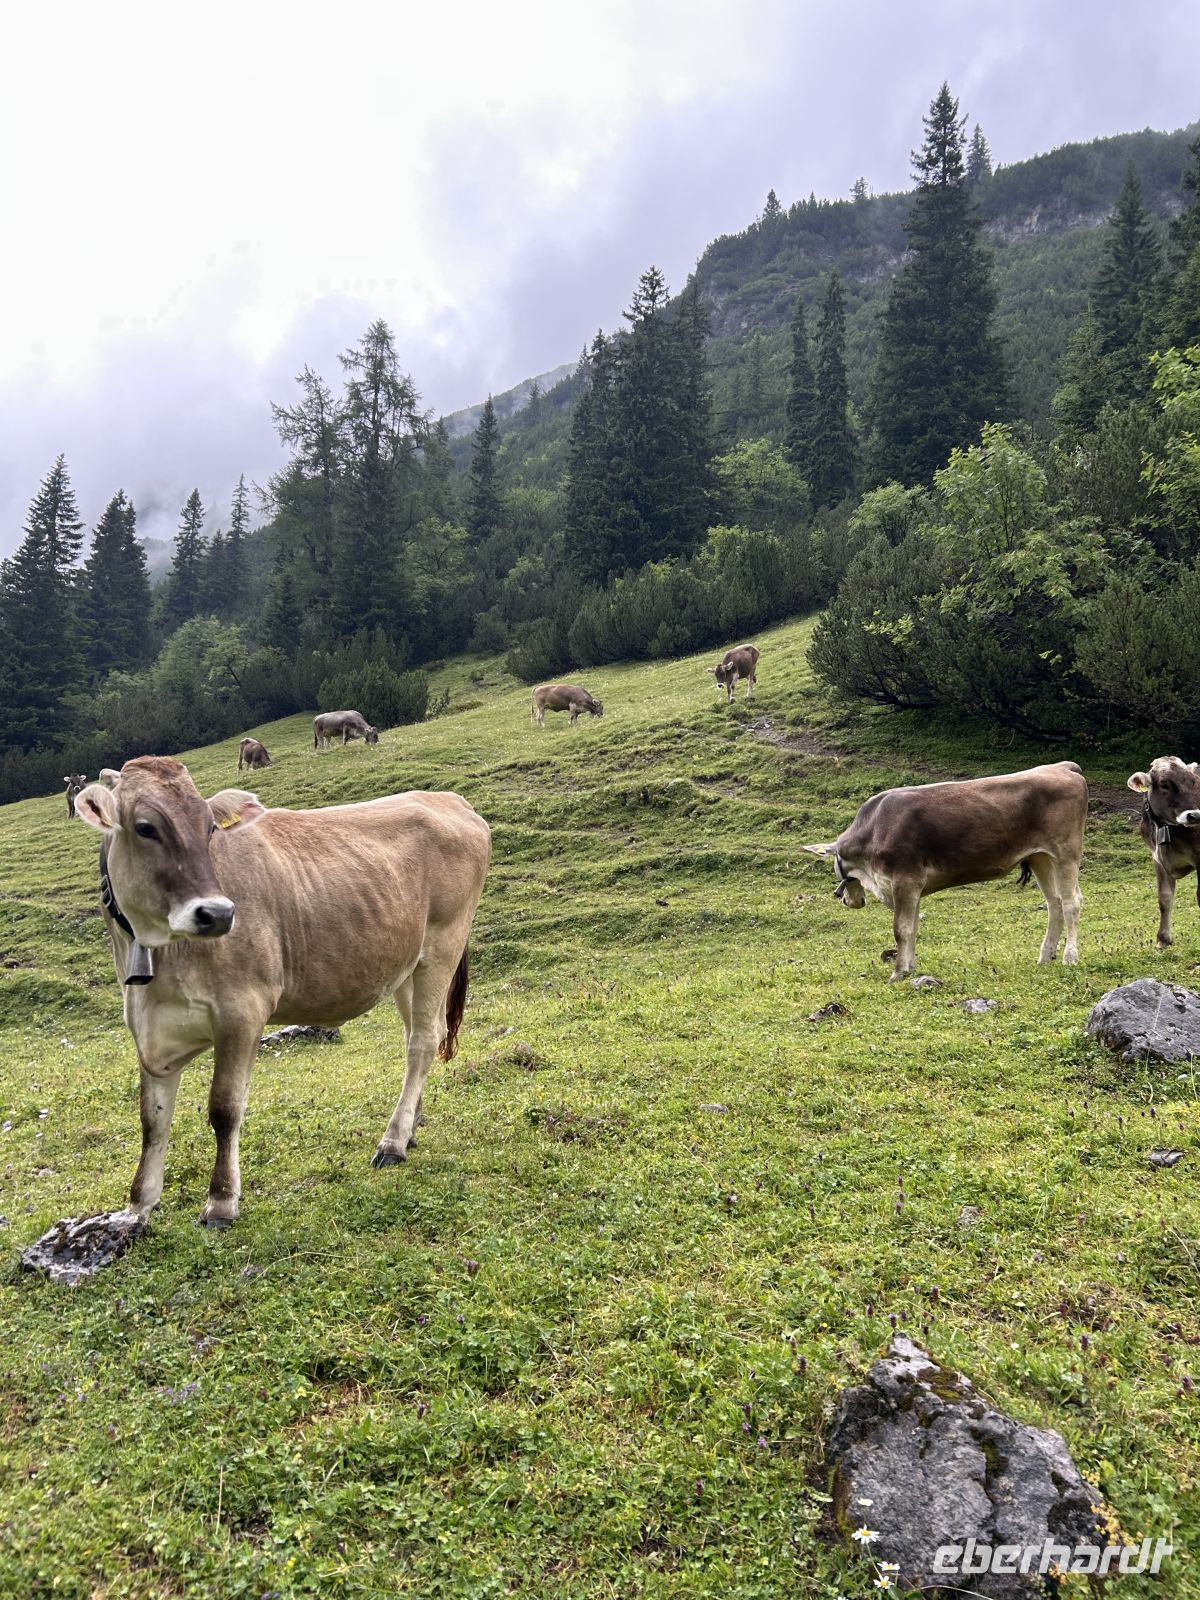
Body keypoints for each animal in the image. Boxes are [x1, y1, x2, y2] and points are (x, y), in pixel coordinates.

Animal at [72, 756, 491, 1227]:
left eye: (209, 828)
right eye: (145, 827)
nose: (217, 913)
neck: (159, 961)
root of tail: (449, 799)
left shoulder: (242, 1010)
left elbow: (224, 1108)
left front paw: (221, 1201)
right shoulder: (149, 1027)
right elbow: (152, 1118)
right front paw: (140, 1203)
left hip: (442, 945)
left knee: (422, 1042)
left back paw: (393, 1142)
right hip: (405, 964)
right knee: (423, 1034)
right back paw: (411, 1127)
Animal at [805, 762, 1087, 980]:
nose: (846, 900)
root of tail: (1063, 766)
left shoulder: (904, 880)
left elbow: (901, 929)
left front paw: (898, 972)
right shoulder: (912, 887)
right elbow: (913, 928)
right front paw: (910, 968)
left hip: (1066, 852)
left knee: (1071, 902)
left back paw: (1070, 957)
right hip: (1040, 856)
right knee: (1054, 903)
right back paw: (1045, 957)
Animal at [1126, 757, 1200, 947]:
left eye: (1193, 781)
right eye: (1164, 784)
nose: (1195, 815)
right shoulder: (1157, 859)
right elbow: (1164, 898)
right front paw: (1163, 939)